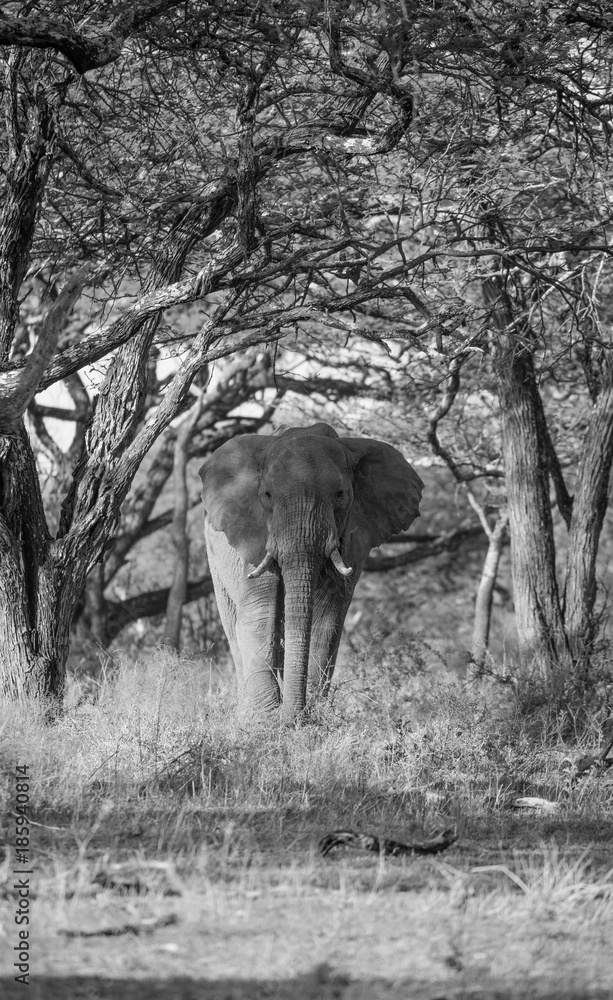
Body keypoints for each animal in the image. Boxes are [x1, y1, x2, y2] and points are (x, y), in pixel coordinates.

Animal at [199, 422, 423, 724]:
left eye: (340, 495)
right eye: (267, 495)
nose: (293, 718)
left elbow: (327, 619)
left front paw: (313, 713)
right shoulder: (253, 532)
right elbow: (261, 611)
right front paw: (263, 720)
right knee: (232, 623)